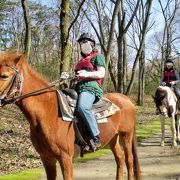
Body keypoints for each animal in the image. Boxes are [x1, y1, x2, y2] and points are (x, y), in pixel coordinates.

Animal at [0, 51, 141, 180]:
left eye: (4, 76)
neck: (47, 112)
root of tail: (127, 99)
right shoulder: (47, 158)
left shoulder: (66, 158)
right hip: (113, 138)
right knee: (120, 157)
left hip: (126, 135)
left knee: (129, 159)